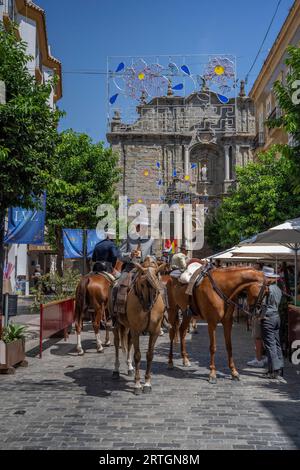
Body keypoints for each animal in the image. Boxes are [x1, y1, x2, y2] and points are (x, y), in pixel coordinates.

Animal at [112, 258, 166, 394]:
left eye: (155, 283)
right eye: (142, 285)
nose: (148, 306)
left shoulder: (154, 332)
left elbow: (150, 355)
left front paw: (147, 383)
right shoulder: (136, 330)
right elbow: (137, 355)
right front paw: (137, 384)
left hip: (128, 328)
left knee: (128, 343)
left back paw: (130, 367)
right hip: (117, 325)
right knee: (117, 344)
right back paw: (116, 370)